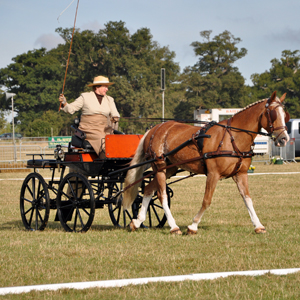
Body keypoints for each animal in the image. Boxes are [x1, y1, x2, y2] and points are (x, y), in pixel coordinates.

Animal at [122, 91, 290, 234]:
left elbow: (247, 199)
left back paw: (137, 222)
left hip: (169, 168)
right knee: (162, 194)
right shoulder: (213, 174)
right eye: (273, 114)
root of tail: (154, 129)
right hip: (159, 166)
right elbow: (207, 200)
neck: (232, 137)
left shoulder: (240, 174)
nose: (284, 139)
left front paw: (258, 226)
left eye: (285, 115)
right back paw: (174, 226)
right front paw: (193, 226)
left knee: (148, 189)